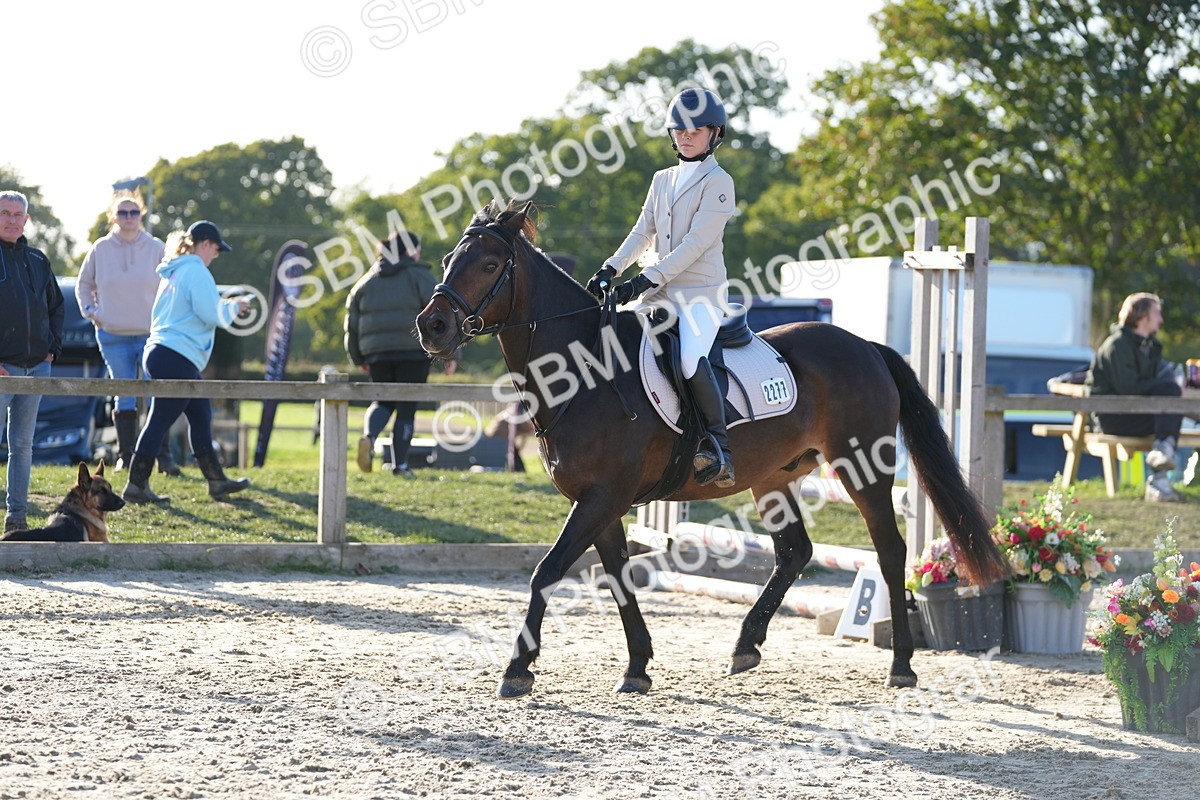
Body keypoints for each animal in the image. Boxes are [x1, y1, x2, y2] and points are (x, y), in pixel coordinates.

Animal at [415, 201, 1009, 698]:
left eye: (490, 264)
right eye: (447, 259)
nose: (432, 326)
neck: (585, 373)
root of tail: (863, 345)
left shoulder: (603, 497)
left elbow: (547, 571)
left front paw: (517, 670)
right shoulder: (598, 502)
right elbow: (619, 578)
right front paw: (637, 666)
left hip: (862, 467)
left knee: (889, 552)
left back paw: (901, 665)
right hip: (772, 478)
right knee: (795, 551)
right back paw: (746, 646)